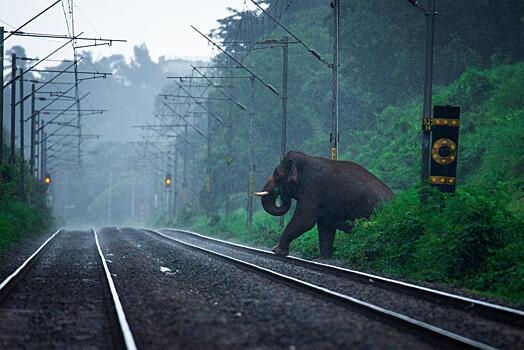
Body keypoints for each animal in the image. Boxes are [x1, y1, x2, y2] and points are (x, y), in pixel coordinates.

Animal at [254, 152, 392, 258]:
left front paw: (276, 251)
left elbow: (304, 220)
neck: (307, 159)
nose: (281, 192)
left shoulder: (312, 190)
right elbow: (325, 226)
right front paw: (324, 259)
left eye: (277, 174)